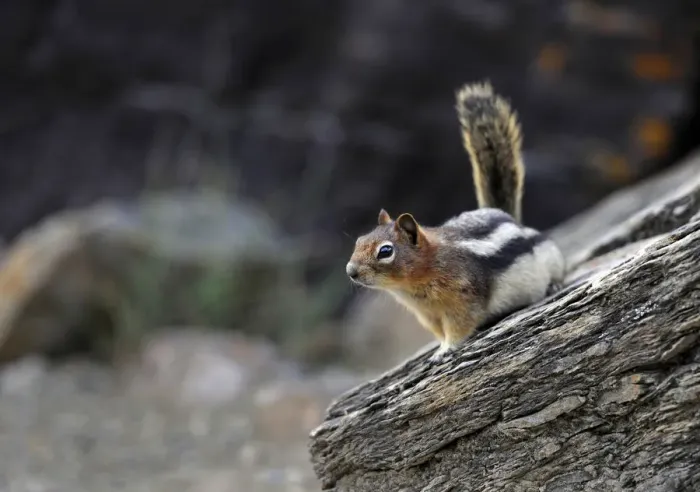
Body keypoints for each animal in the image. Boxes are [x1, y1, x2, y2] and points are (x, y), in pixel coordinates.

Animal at [345, 81, 566, 360]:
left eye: (385, 251)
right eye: (358, 241)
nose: (350, 272)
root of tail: (511, 219)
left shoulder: (463, 299)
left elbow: (459, 326)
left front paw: (446, 349)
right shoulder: (428, 315)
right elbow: (439, 331)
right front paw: (438, 346)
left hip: (551, 255)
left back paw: (554, 286)